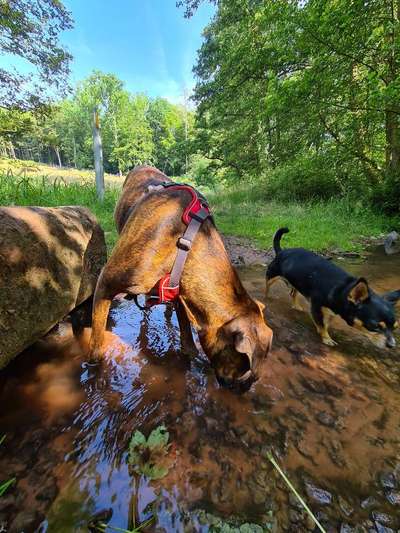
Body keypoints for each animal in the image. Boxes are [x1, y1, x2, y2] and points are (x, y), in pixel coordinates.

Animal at [89, 164, 274, 388]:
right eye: (245, 368)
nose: (246, 388)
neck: (185, 242)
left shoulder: (180, 291)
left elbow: (187, 339)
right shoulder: (105, 284)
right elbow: (97, 345)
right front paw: (97, 375)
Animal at [266, 227, 400, 348]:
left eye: (395, 327)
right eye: (375, 326)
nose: (392, 345)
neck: (342, 289)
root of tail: (282, 251)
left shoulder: (328, 312)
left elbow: (325, 324)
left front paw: (323, 333)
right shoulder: (316, 308)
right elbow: (322, 325)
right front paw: (326, 338)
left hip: (297, 283)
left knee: (293, 293)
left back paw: (296, 306)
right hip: (272, 275)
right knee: (267, 286)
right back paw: (267, 297)